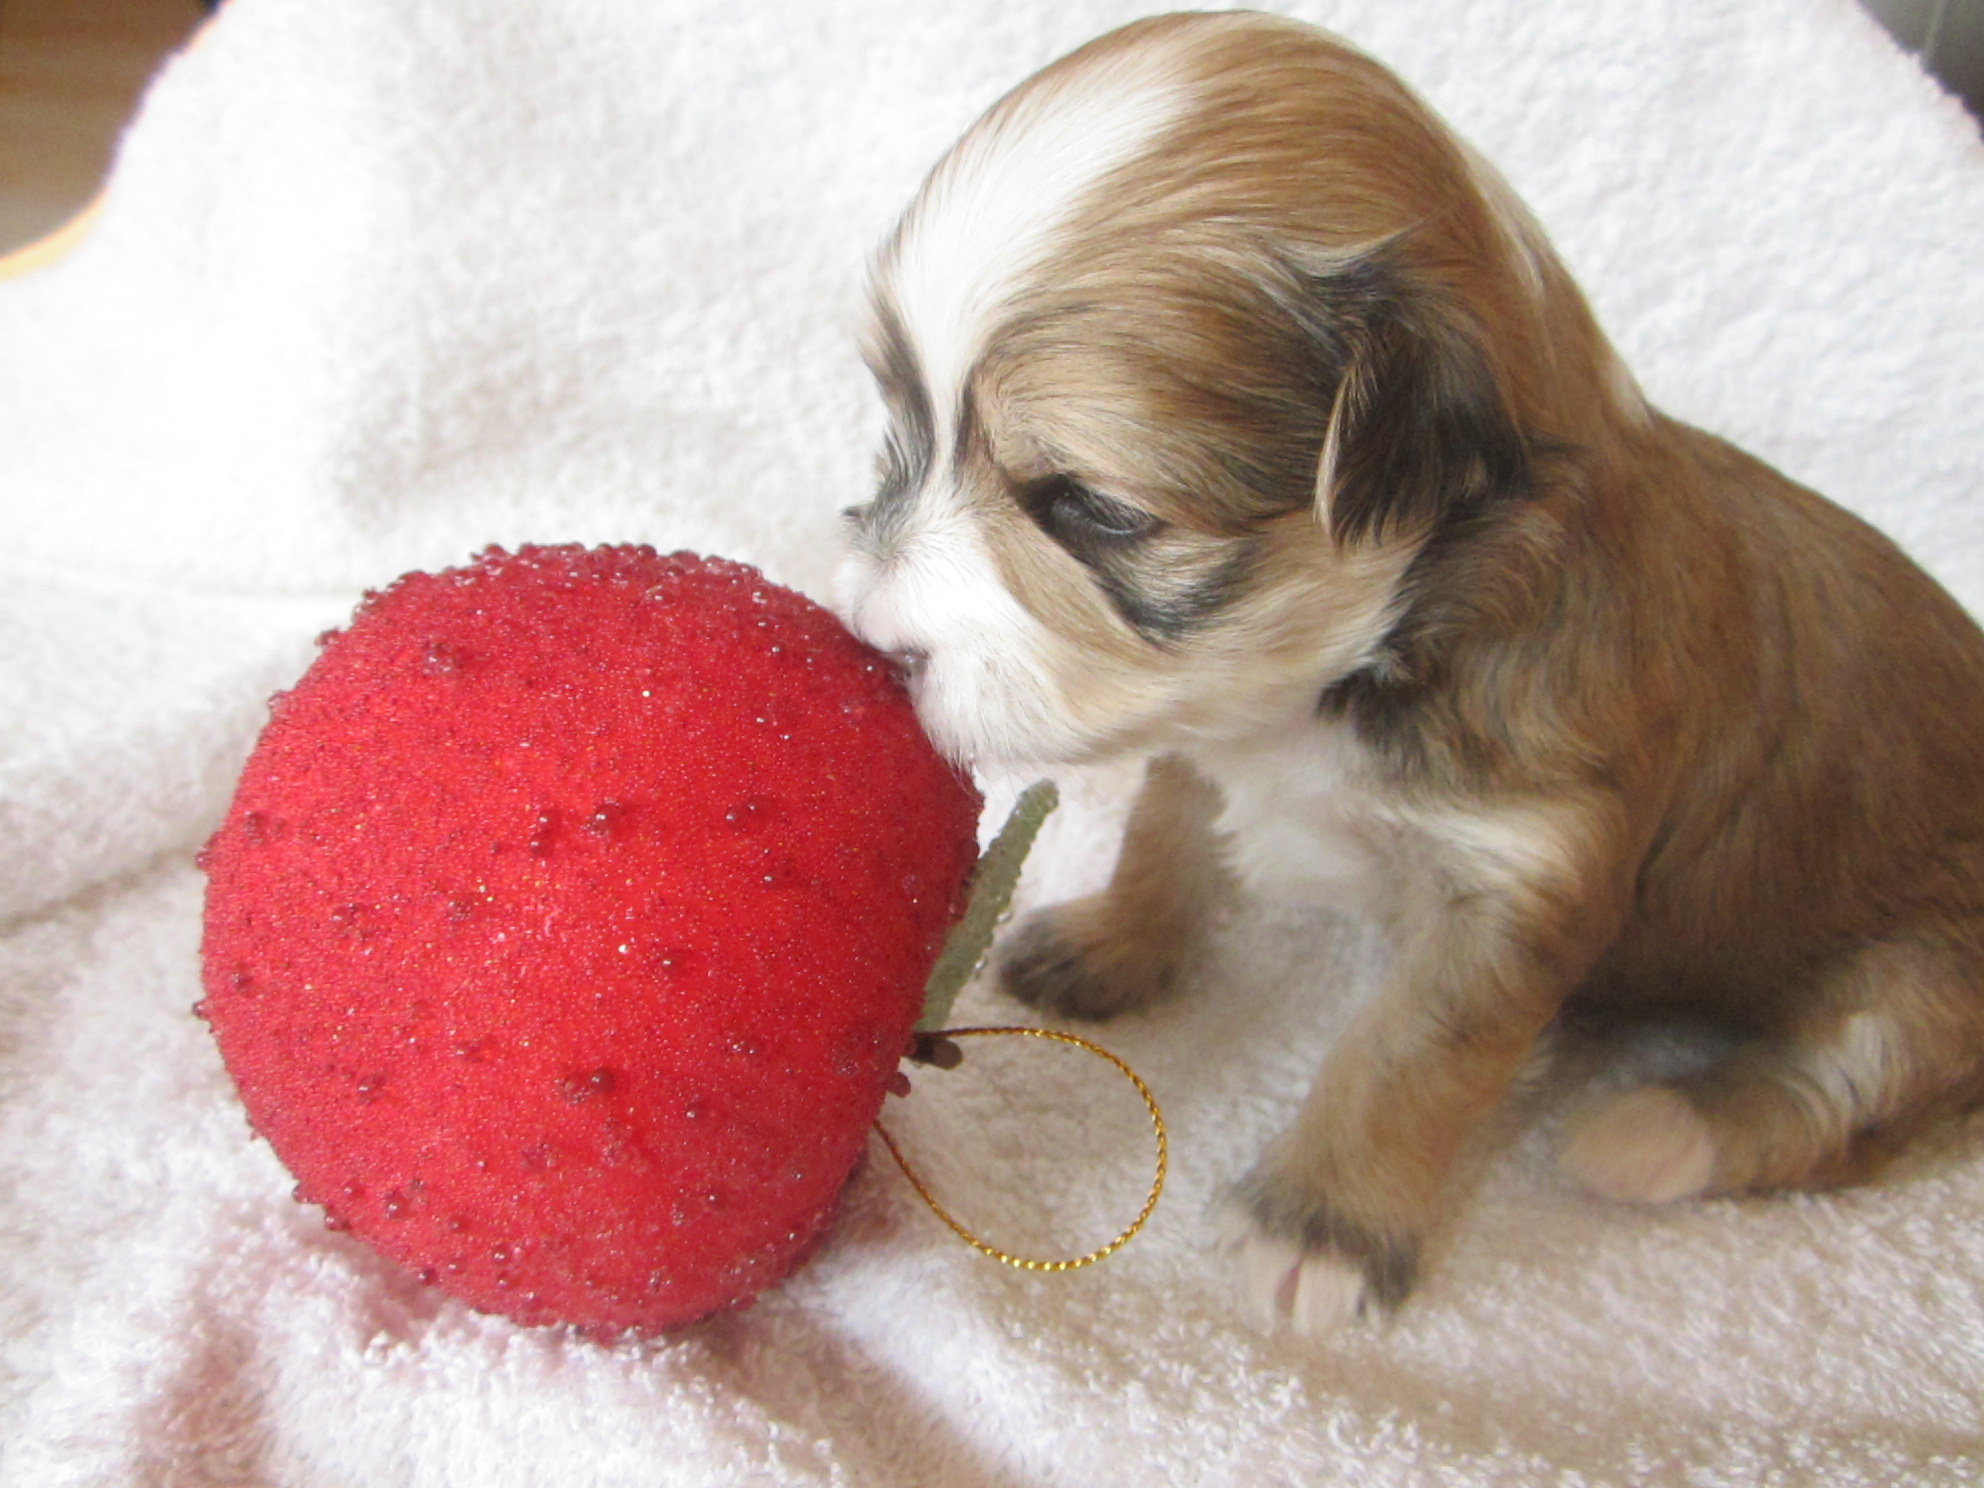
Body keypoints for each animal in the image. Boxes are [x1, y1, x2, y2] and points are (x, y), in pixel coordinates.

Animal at [836, 10, 1984, 1334]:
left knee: (1842, 1103)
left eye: (1093, 509)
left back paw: (1651, 1137)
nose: (873, 636)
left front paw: (1316, 1229)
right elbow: (1167, 832)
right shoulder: (1210, 718)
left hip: (1925, 981)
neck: (1333, 680)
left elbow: (1406, 1056)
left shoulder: (1521, 878)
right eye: (899, 428)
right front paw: (1114, 943)